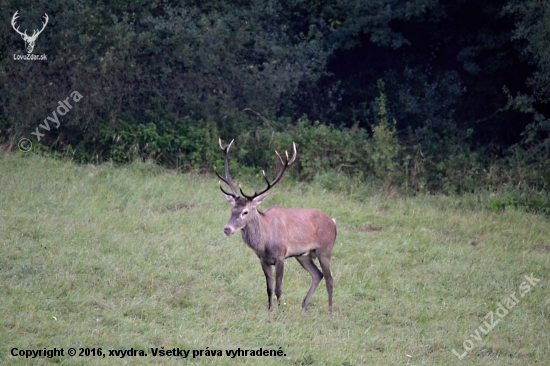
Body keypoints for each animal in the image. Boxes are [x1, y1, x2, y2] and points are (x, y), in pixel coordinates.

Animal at [218, 139, 338, 314]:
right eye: (232, 209)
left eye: (245, 212)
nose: (227, 229)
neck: (265, 242)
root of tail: (334, 222)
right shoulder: (263, 260)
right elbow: (268, 288)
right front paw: (270, 310)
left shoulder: (281, 256)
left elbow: (278, 288)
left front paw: (280, 311)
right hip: (303, 255)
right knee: (318, 275)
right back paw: (304, 305)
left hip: (325, 250)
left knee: (329, 278)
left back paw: (330, 310)